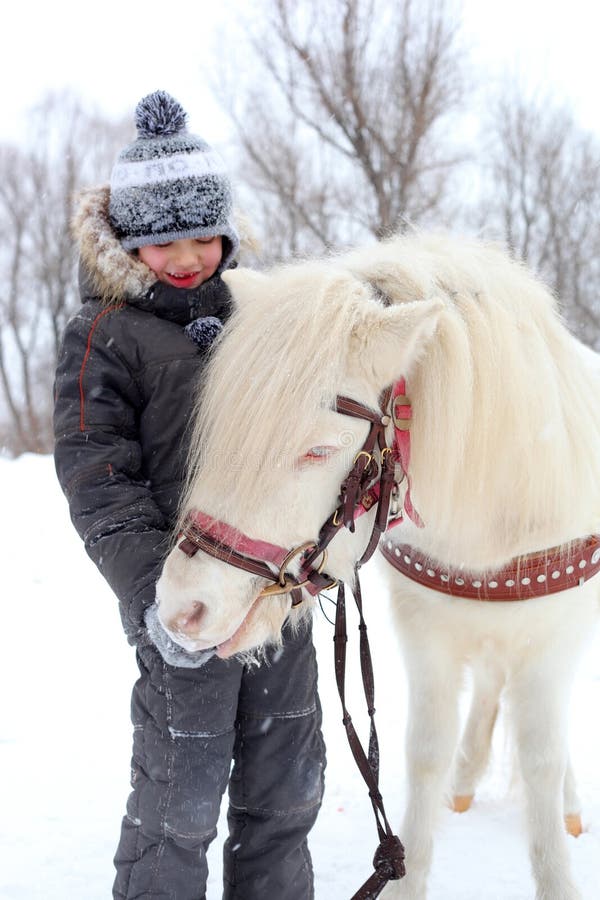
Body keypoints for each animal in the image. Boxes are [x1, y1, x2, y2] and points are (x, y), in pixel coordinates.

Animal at [156, 234, 600, 900]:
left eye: (318, 450)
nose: (183, 606)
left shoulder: (550, 639)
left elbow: (541, 761)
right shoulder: (426, 633)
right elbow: (425, 752)